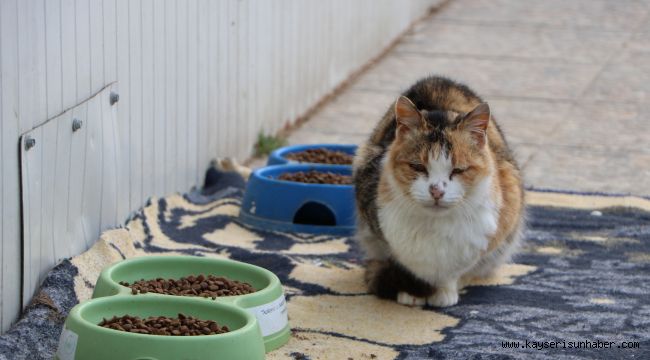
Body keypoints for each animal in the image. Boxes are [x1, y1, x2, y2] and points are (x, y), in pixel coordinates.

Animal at [352, 76, 524, 306]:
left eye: (458, 170)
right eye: (417, 167)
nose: (436, 191)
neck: (434, 226)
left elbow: (455, 271)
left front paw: (445, 293)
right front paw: (411, 293)